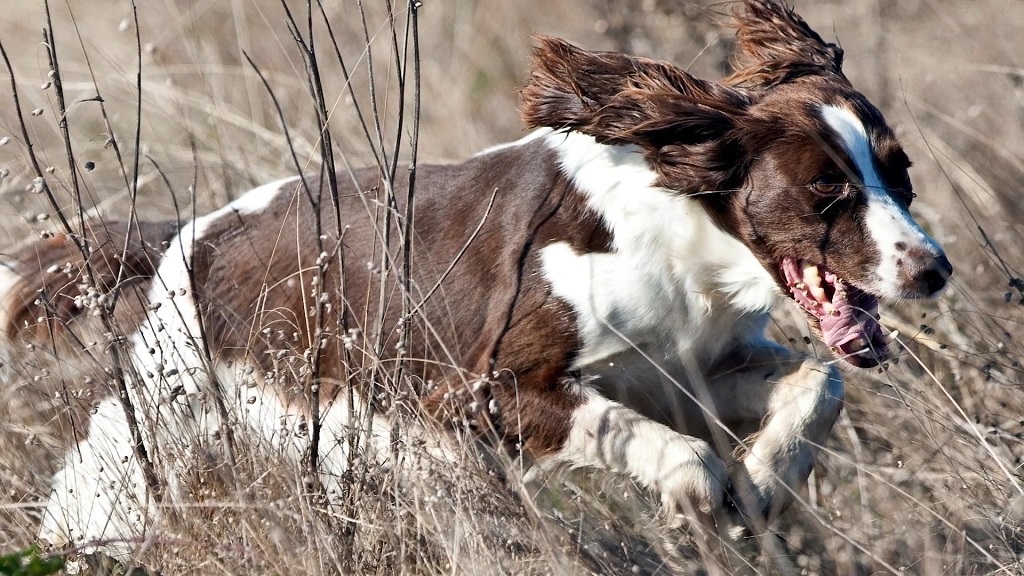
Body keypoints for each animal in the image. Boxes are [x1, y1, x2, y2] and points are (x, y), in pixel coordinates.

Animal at [0, 0, 950, 553]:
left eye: (899, 172)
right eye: (826, 186)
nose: (934, 269)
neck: (678, 240)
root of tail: (186, 237)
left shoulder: (681, 373)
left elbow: (819, 380)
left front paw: (760, 482)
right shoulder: (478, 390)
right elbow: (651, 440)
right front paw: (698, 491)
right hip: (160, 427)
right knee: (93, 500)